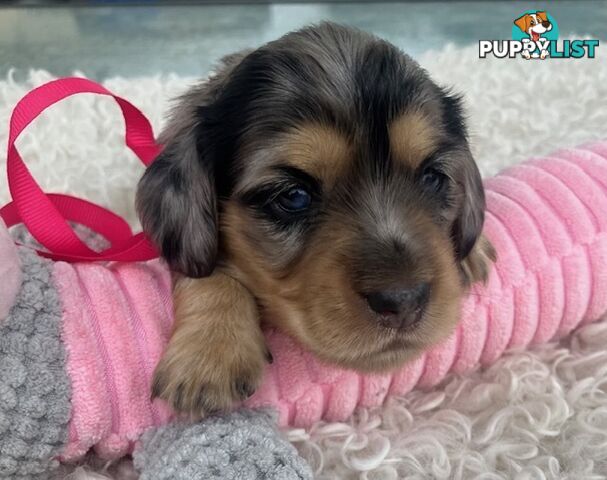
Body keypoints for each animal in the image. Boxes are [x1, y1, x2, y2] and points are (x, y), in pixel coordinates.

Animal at [138, 22, 494, 416]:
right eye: (294, 196)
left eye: (431, 177)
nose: (403, 302)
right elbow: (204, 270)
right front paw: (209, 353)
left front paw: (474, 249)